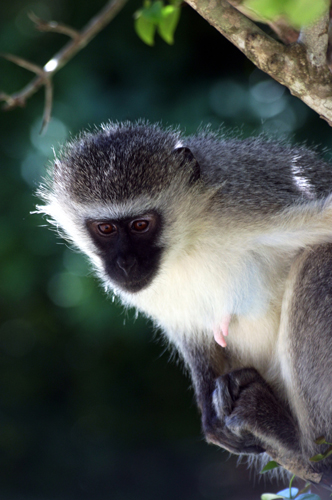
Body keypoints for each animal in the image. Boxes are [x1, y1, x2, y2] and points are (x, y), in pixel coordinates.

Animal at [37, 122, 332, 488]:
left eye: (141, 225)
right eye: (105, 228)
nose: (125, 263)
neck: (186, 240)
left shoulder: (245, 206)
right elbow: (190, 328)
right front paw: (209, 409)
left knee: (317, 260)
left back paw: (305, 447)